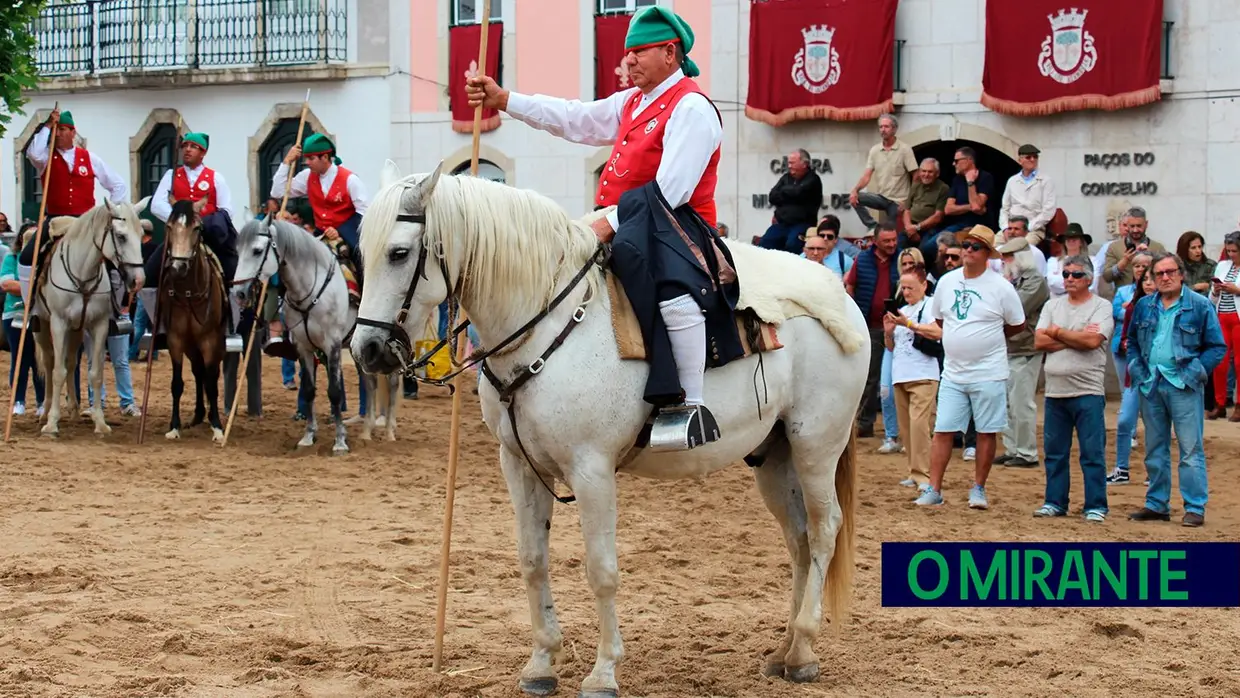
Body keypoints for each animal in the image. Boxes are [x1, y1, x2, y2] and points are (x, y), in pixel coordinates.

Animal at [32, 197, 147, 436]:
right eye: (120, 236)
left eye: (141, 234)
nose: (139, 280)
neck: (82, 274)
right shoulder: (58, 324)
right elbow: (57, 371)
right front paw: (52, 424)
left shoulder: (99, 325)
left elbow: (95, 373)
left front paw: (100, 423)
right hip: (42, 328)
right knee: (49, 363)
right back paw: (45, 413)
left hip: (76, 330)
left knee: (71, 362)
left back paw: (74, 411)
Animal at [159, 197, 228, 441]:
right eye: (169, 227)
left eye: (197, 228)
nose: (178, 267)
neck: (188, 294)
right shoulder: (175, 340)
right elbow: (177, 384)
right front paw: (174, 427)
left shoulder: (210, 340)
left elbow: (213, 383)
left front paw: (217, 426)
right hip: (191, 345)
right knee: (198, 372)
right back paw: (198, 415)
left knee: (209, 375)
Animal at [233, 215, 401, 451]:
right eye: (238, 251)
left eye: (257, 251)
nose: (238, 292)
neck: (311, 290)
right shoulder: (303, 347)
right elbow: (309, 390)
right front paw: (308, 436)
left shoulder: (332, 346)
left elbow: (334, 392)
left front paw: (340, 441)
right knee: (370, 383)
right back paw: (367, 431)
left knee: (392, 382)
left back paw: (389, 431)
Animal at [349, 161, 872, 694]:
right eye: (363, 252)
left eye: (399, 253)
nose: (365, 350)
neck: (545, 323)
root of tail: (842, 298)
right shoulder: (518, 465)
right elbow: (532, 560)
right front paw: (542, 662)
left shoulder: (591, 471)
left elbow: (601, 570)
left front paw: (603, 671)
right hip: (774, 456)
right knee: (799, 539)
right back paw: (784, 649)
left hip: (816, 447)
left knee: (825, 529)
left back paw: (803, 649)